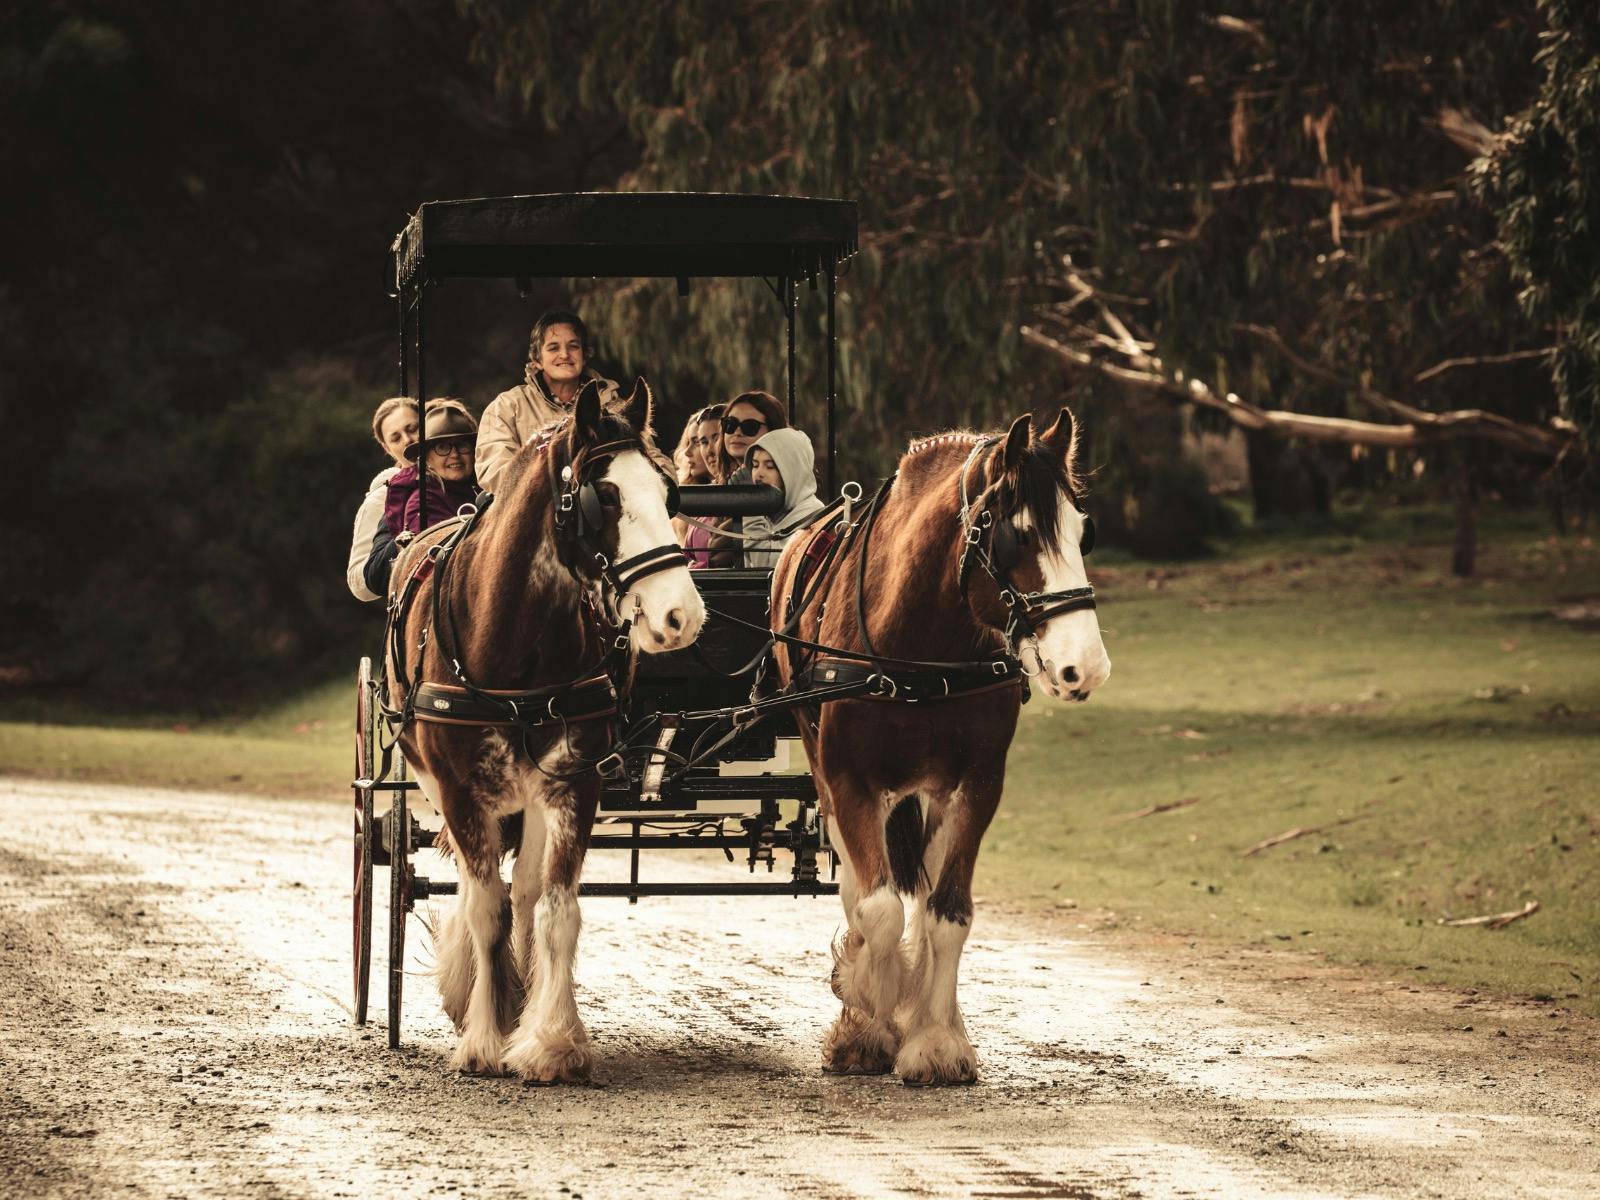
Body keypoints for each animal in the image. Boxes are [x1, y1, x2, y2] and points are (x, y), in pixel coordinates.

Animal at [385, 380, 704, 1083]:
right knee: (484, 890)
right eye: (604, 496)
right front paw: (482, 1037)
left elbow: (556, 909)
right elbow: (484, 908)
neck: (514, 649)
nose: (681, 616)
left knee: (526, 893)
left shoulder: (573, 784)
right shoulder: (459, 790)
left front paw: (552, 1040)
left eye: (669, 493)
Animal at [769, 406, 1110, 1086]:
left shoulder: (977, 785)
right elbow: (878, 910)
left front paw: (934, 1037)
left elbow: (947, 911)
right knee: (861, 889)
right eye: (1017, 537)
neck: (920, 649)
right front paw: (867, 1018)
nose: (1085, 666)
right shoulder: (850, 782)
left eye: (1082, 534)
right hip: (826, 770)